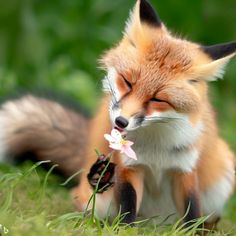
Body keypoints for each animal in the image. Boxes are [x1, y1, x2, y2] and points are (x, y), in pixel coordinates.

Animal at [0, 0, 236, 230]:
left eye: (157, 99)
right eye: (128, 82)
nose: (121, 121)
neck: (155, 145)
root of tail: (155, 224)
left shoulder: (184, 170)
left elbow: (191, 211)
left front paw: (192, 232)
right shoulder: (129, 168)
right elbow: (128, 207)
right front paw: (126, 231)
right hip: (97, 197)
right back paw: (99, 181)